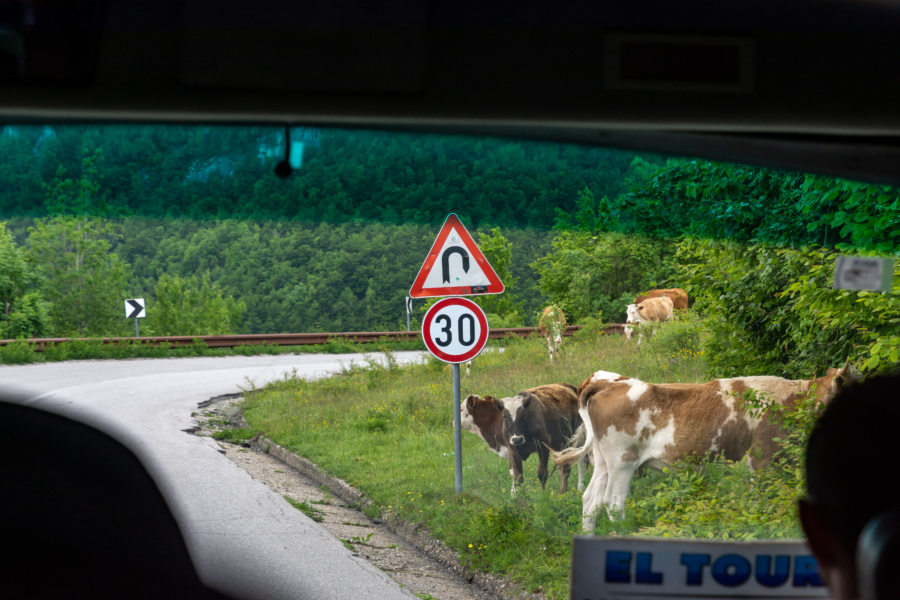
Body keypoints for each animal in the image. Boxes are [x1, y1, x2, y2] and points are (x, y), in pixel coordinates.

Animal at [556, 360, 856, 528]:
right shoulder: (761, 460)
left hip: (603, 463)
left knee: (590, 502)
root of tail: (608, 382)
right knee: (613, 504)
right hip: (622, 462)